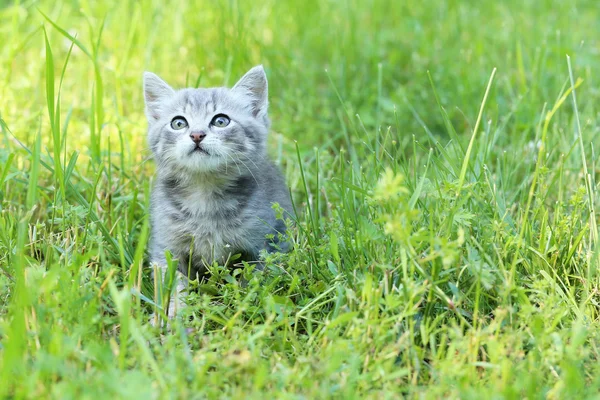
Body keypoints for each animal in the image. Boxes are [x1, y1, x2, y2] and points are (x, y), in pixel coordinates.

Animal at [146, 65, 296, 316]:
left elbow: (255, 279)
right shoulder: (165, 245)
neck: (204, 194)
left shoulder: (267, 244)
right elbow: (171, 284)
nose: (196, 134)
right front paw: (173, 314)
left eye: (221, 121)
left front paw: (243, 307)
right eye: (178, 123)